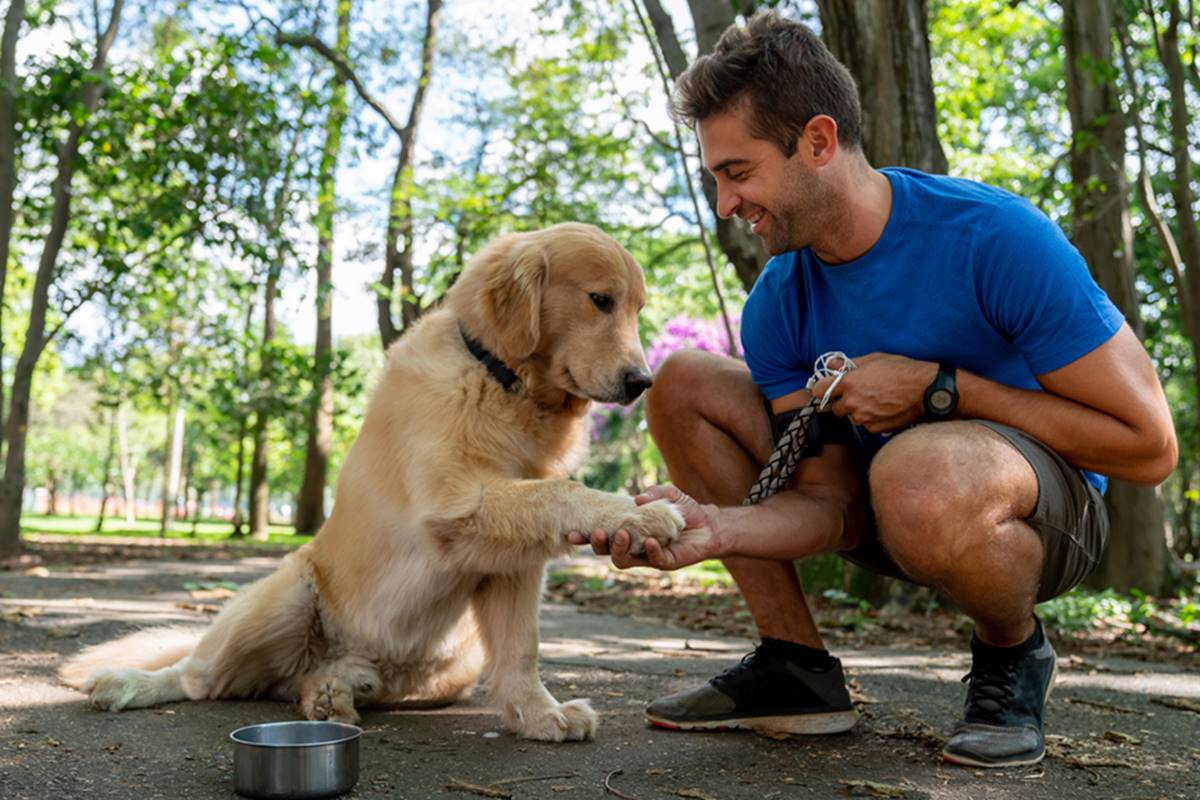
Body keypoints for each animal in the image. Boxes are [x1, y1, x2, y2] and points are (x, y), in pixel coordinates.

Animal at [60, 221, 686, 743]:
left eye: (637, 309)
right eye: (600, 300)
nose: (643, 382)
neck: (500, 380)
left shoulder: (512, 563)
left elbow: (520, 651)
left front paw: (538, 715)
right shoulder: (452, 506)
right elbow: (562, 492)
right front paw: (637, 513)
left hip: (447, 663)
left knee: (311, 682)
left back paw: (333, 693)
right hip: (283, 599)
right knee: (198, 677)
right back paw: (128, 684)